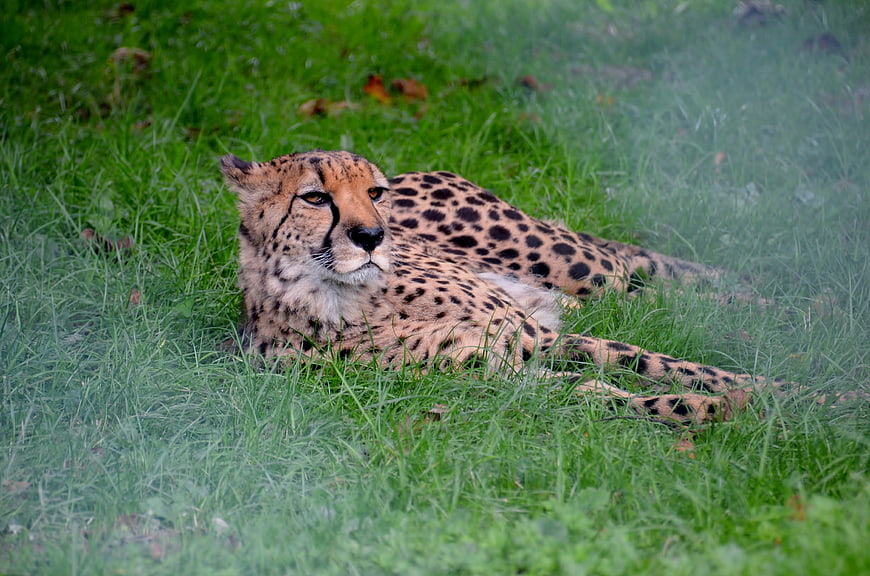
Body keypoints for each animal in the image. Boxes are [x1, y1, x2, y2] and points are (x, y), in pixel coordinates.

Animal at [220, 149, 777, 424]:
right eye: (315, 197)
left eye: (373, 192)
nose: (372, 236)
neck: (350, 299)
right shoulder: (496, 375)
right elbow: (604, 394)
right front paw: (713, 409)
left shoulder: (535, 335)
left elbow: (665, 364)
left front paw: (782, 395)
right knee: (652, 294)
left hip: (581, 269)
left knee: (640, 269)